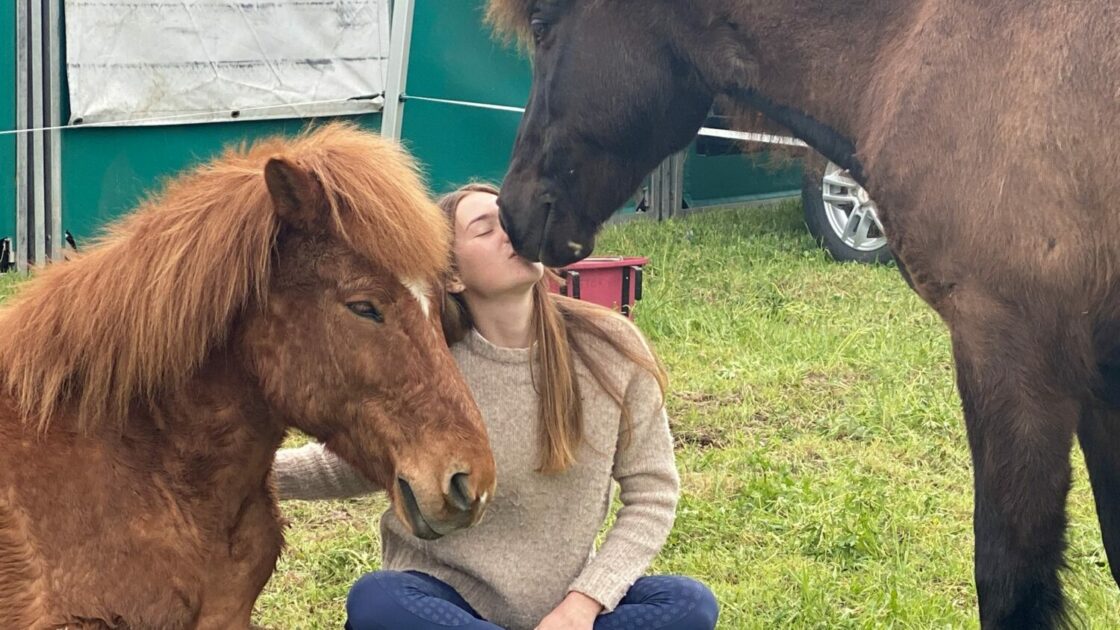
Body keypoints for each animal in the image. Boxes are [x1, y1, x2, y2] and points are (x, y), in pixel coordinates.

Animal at [488, 2, 1120, 623]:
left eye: (541, 26)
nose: (511, 211)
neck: (918, 46)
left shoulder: (1010, 353)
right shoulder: (1098, 387)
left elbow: (1008, 579)